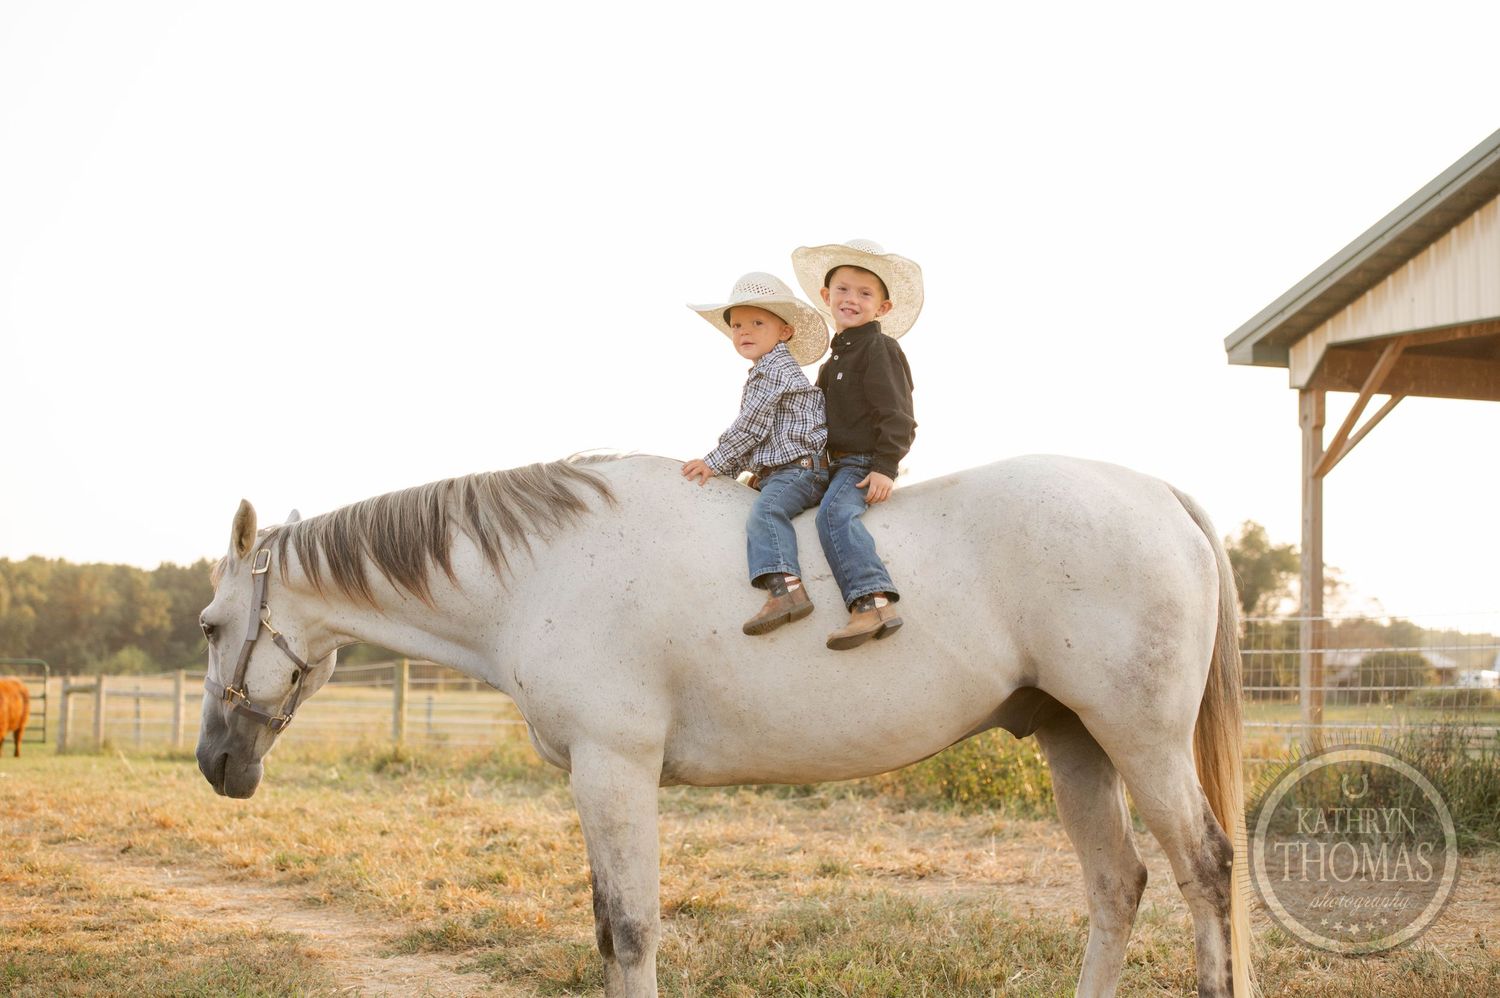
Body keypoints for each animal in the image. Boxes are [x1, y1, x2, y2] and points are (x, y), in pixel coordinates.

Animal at [195, 453, 1253, 997]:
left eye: (209, 625)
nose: (214, 763)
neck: (543, 572)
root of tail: (1160, 494)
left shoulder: (612, 771)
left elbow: (630, 930)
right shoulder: (599, 781)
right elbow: (607, 928)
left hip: (1141, 739)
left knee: (1208, 869)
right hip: (1076, 742)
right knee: (1119, 886)